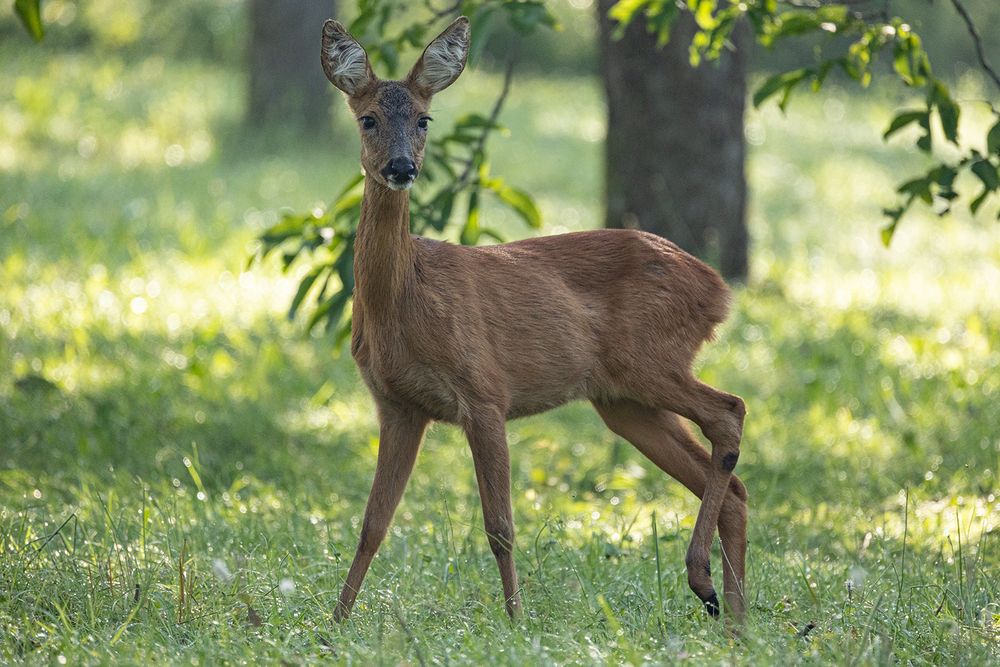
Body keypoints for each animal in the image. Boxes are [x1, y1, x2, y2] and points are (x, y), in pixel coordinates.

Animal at [324, 17, 748, 620]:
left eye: (425, 118)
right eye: (368, 118)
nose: (402, 167)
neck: (404, 300)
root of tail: (717, 289)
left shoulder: (483, 391)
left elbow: (500, 527)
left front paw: (517, 619)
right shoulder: (398, 405)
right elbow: (371, 525)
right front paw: (334, 622)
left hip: (649, 359)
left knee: (730, 411)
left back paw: (704, 582)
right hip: (622, 400)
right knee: (735, 486)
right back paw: (734, 618)